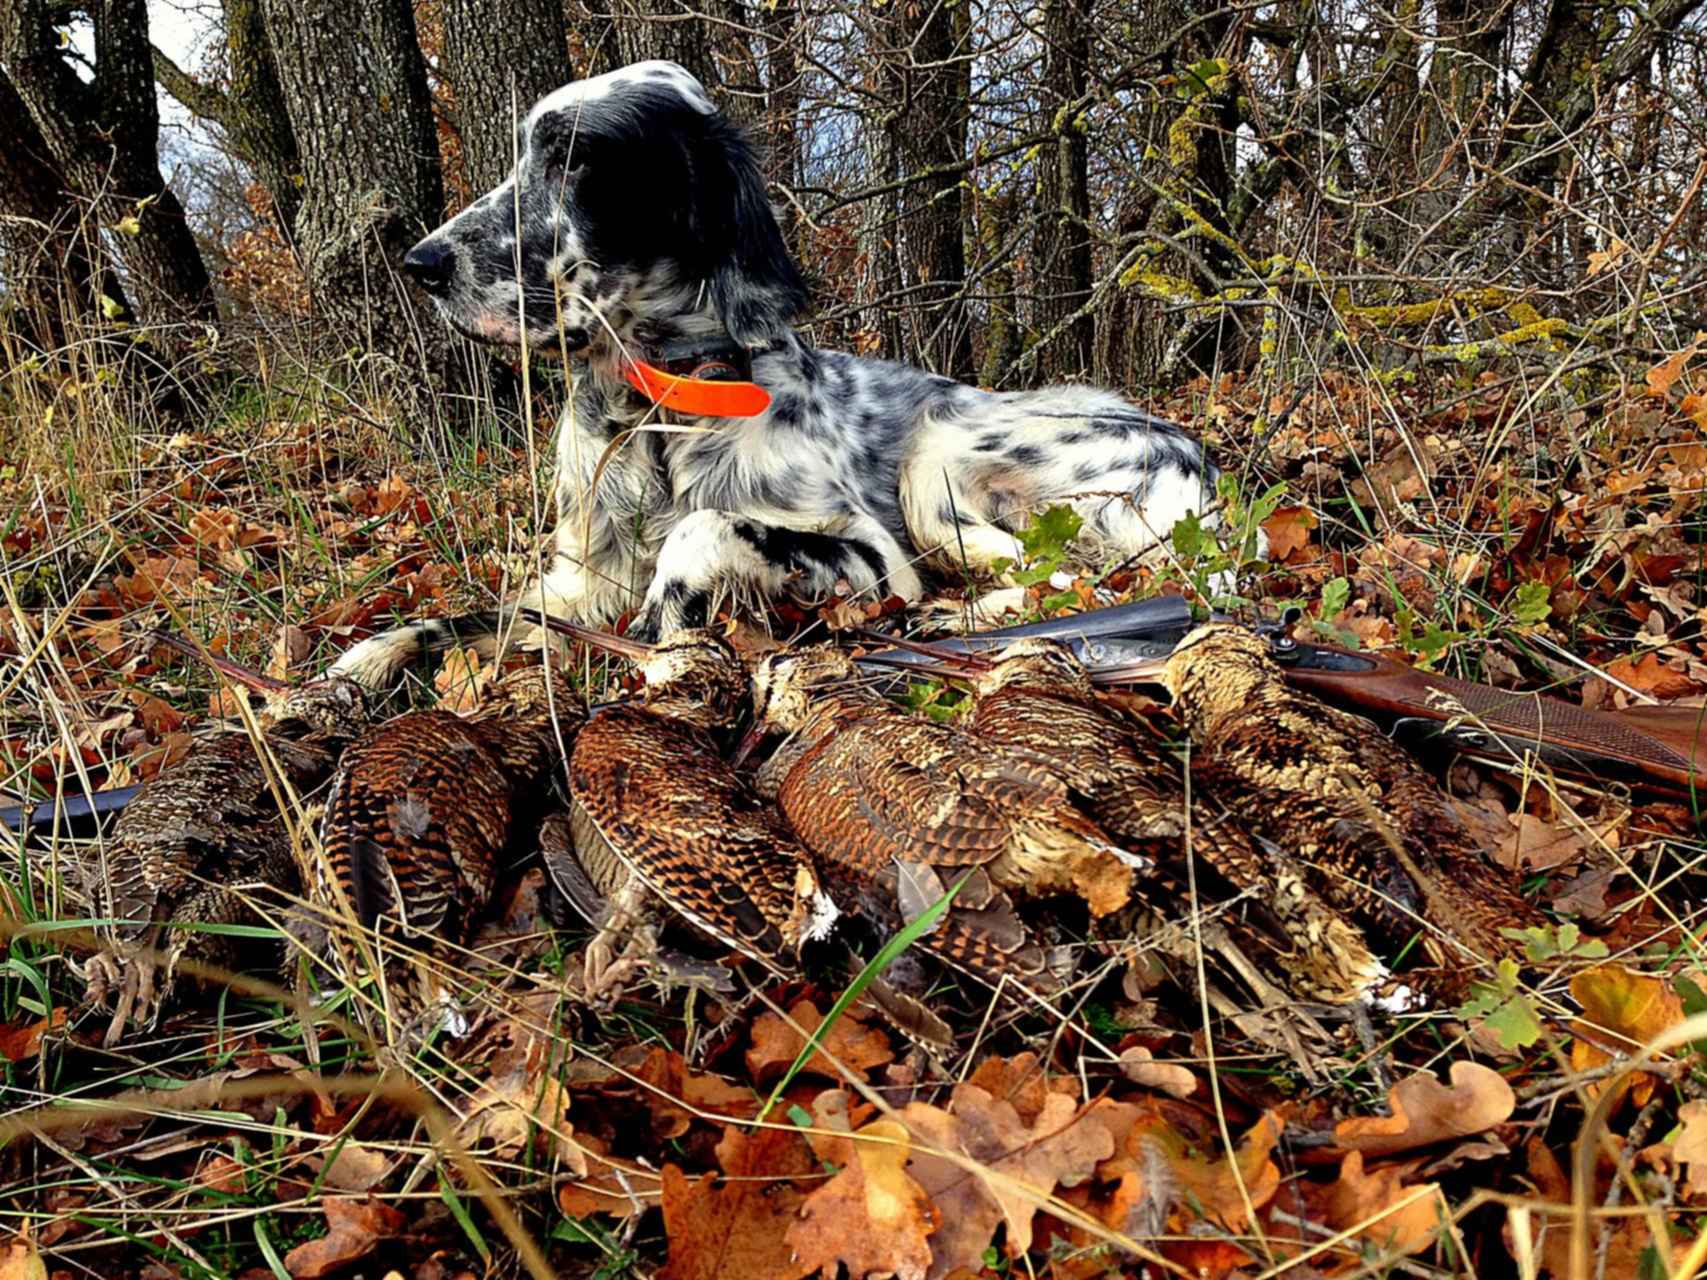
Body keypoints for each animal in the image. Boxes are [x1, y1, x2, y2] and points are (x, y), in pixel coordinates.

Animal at [332, 57, 1242, 692]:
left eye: (577, 159)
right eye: (524, 153)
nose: (421, 263)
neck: (657, 409)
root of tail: (1195, 460)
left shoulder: (877, 560)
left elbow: (706, 530)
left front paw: (667, 621)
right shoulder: (583, 587)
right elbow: (475, 612)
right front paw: (360, 661)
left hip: (937, 465)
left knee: (1046, 572)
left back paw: (967, 616)